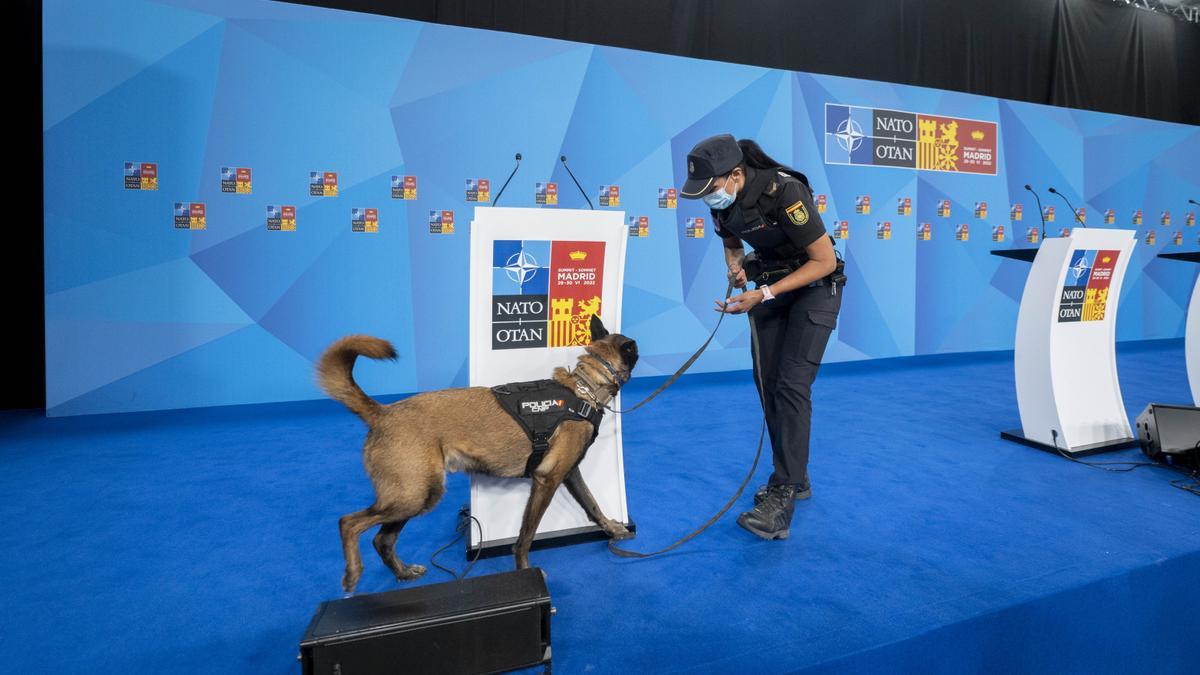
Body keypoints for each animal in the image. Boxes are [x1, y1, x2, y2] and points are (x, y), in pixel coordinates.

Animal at [319, 314, 638, 588]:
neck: (584, 390)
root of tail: (381, 413)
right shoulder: (547, 480)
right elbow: (526, 536)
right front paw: (524, 570)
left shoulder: (569, 474)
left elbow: (593, 504)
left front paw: (613, 529)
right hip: (413, 495)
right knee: (349, 523)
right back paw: (353, 573)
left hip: (417, 494)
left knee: (382, 541)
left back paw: (403, 572)